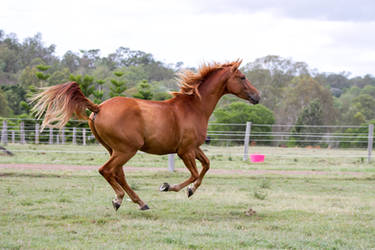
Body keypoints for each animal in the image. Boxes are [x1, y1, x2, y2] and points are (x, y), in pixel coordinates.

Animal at [31, 60, 262, 211]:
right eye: (242, 77)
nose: (257, 96)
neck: (194, 107)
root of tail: (98, 108)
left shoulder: (193, 148)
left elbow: (206, 166)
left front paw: (191, 190)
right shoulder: (185, 151)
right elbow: (195, 173)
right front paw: (168, 187)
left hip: (114, 149)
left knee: (118, 174)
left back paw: (140, 203)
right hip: (126, 149)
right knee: (107, 171)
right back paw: (119, 199)